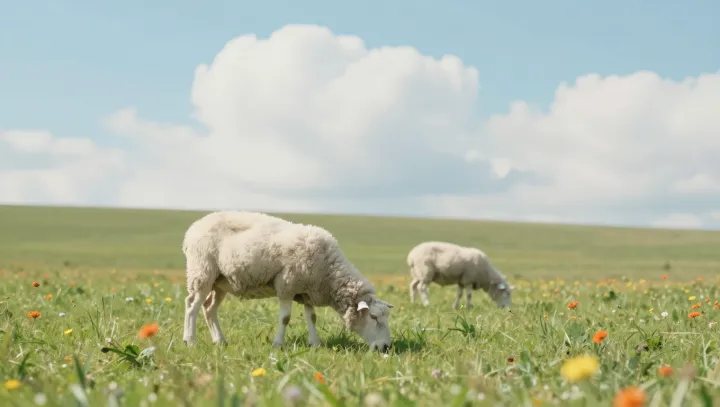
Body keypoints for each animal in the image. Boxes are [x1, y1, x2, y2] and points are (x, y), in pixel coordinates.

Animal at [181, 211, 394, 352]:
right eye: (373, 317)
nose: (385, 347)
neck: (328, 273)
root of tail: (193, 228)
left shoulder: (308, 291)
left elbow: (312, 318)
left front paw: (315, 343)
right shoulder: (286, 285)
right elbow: (285, 318)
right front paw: (278, 344)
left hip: (221, 282)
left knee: (209, 308)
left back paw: (220, 341)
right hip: (202, 271)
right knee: (191, 305)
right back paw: (189, 340)